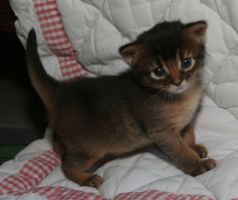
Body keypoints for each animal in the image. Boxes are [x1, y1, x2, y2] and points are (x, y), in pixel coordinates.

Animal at [27, 21, 217, 188]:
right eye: (158, 72)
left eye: (186, 62)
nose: (177, 82)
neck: (181, 96)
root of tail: (61, 91)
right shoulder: (162, 132)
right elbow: (181, 152)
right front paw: (198, 166)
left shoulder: (185, 122)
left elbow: (188, 136)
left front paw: (194, 147)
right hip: (88, 149)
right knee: (67, 165)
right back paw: (86, 178)